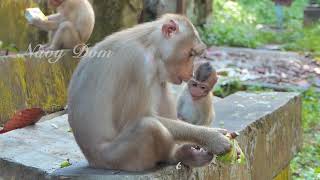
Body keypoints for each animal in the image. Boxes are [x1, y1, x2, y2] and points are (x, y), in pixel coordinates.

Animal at [69, 13, 231, 171]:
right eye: (191, 54)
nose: (190, 73)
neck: (149, 44)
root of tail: (92, 160)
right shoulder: (138, 64)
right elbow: (136, 118)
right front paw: (211, 137)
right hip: (115, 158)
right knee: (150, 127)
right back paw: (177, 155)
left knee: (160, 83)